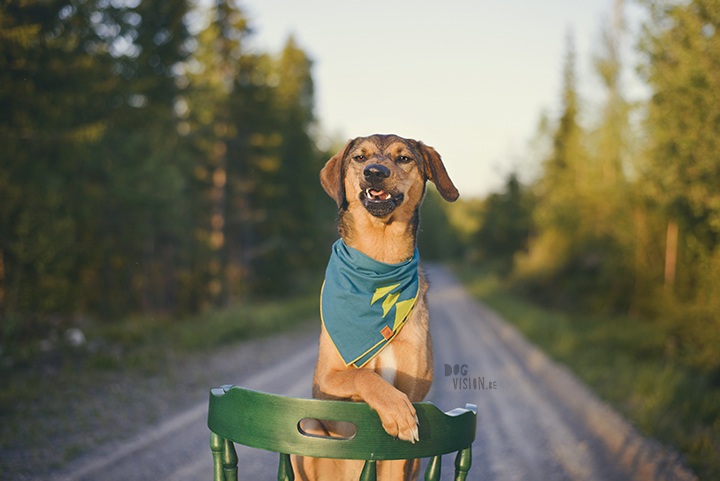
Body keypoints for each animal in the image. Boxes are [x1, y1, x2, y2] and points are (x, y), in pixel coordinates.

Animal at [294, 134, 458, 480]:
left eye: (404, 158)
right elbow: (363, 376)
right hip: (310, 427)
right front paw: (396, 411)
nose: (374, 172)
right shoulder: (327, 380)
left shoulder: (412, 400)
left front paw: (398, 413)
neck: (379, 264)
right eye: (360, 157)